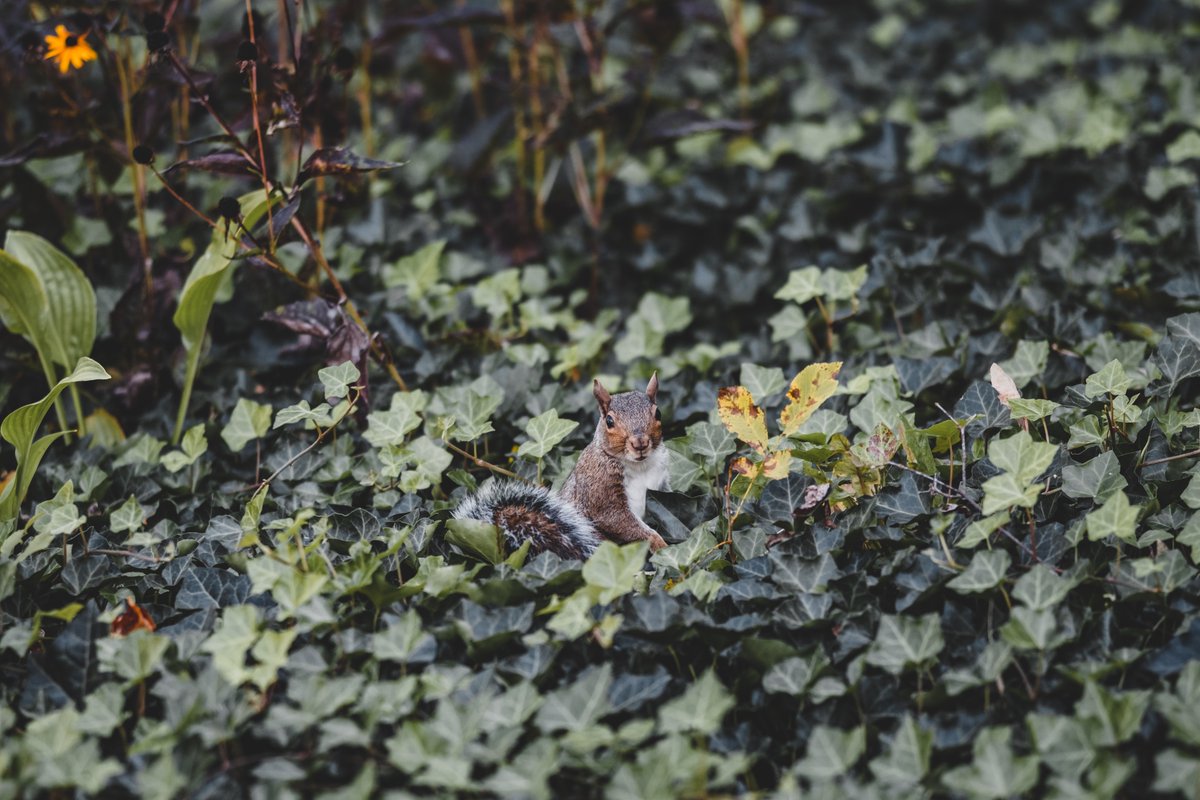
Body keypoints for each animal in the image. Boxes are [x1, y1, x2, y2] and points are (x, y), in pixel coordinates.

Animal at [453, 374, 670, 560]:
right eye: (609, 421)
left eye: (658, 413)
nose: (640, 443)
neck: (639, 466)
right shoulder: (599, 489)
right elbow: (617, 520)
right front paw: (661, 545)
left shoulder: (661, 481)